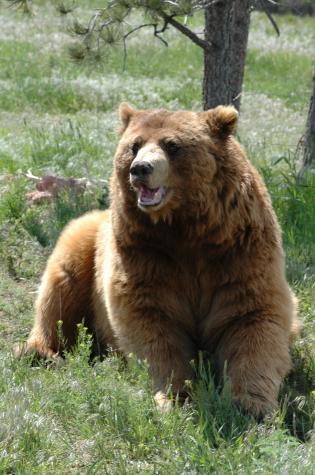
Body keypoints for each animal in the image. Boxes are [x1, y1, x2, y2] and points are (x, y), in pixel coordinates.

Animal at [21, 103, 302, 416]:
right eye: (134, 145)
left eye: (172, 145)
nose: (140, 169)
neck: (185, 229)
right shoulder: (146, 255)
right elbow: (154, 326)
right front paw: (176, 397)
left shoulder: (238, 253)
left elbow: (252, 318)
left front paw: (251, 405)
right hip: (84, 240)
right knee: (59, 292)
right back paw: (38, 352)